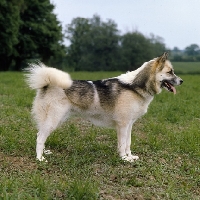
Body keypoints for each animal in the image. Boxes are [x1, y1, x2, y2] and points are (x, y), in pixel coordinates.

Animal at [24, 52, 183, 162]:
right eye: (170, 72)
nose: (182, 81)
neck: (134, 86)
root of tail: (47, 83)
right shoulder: (122, 125)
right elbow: (122, 144)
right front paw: (124, 159)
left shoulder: (129, 125)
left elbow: (128, 143)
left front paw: (130, 157)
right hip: (53, 120)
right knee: (40, 137)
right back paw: (40, 158)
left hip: (56, 120)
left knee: (41, 136)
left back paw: (44, 153)